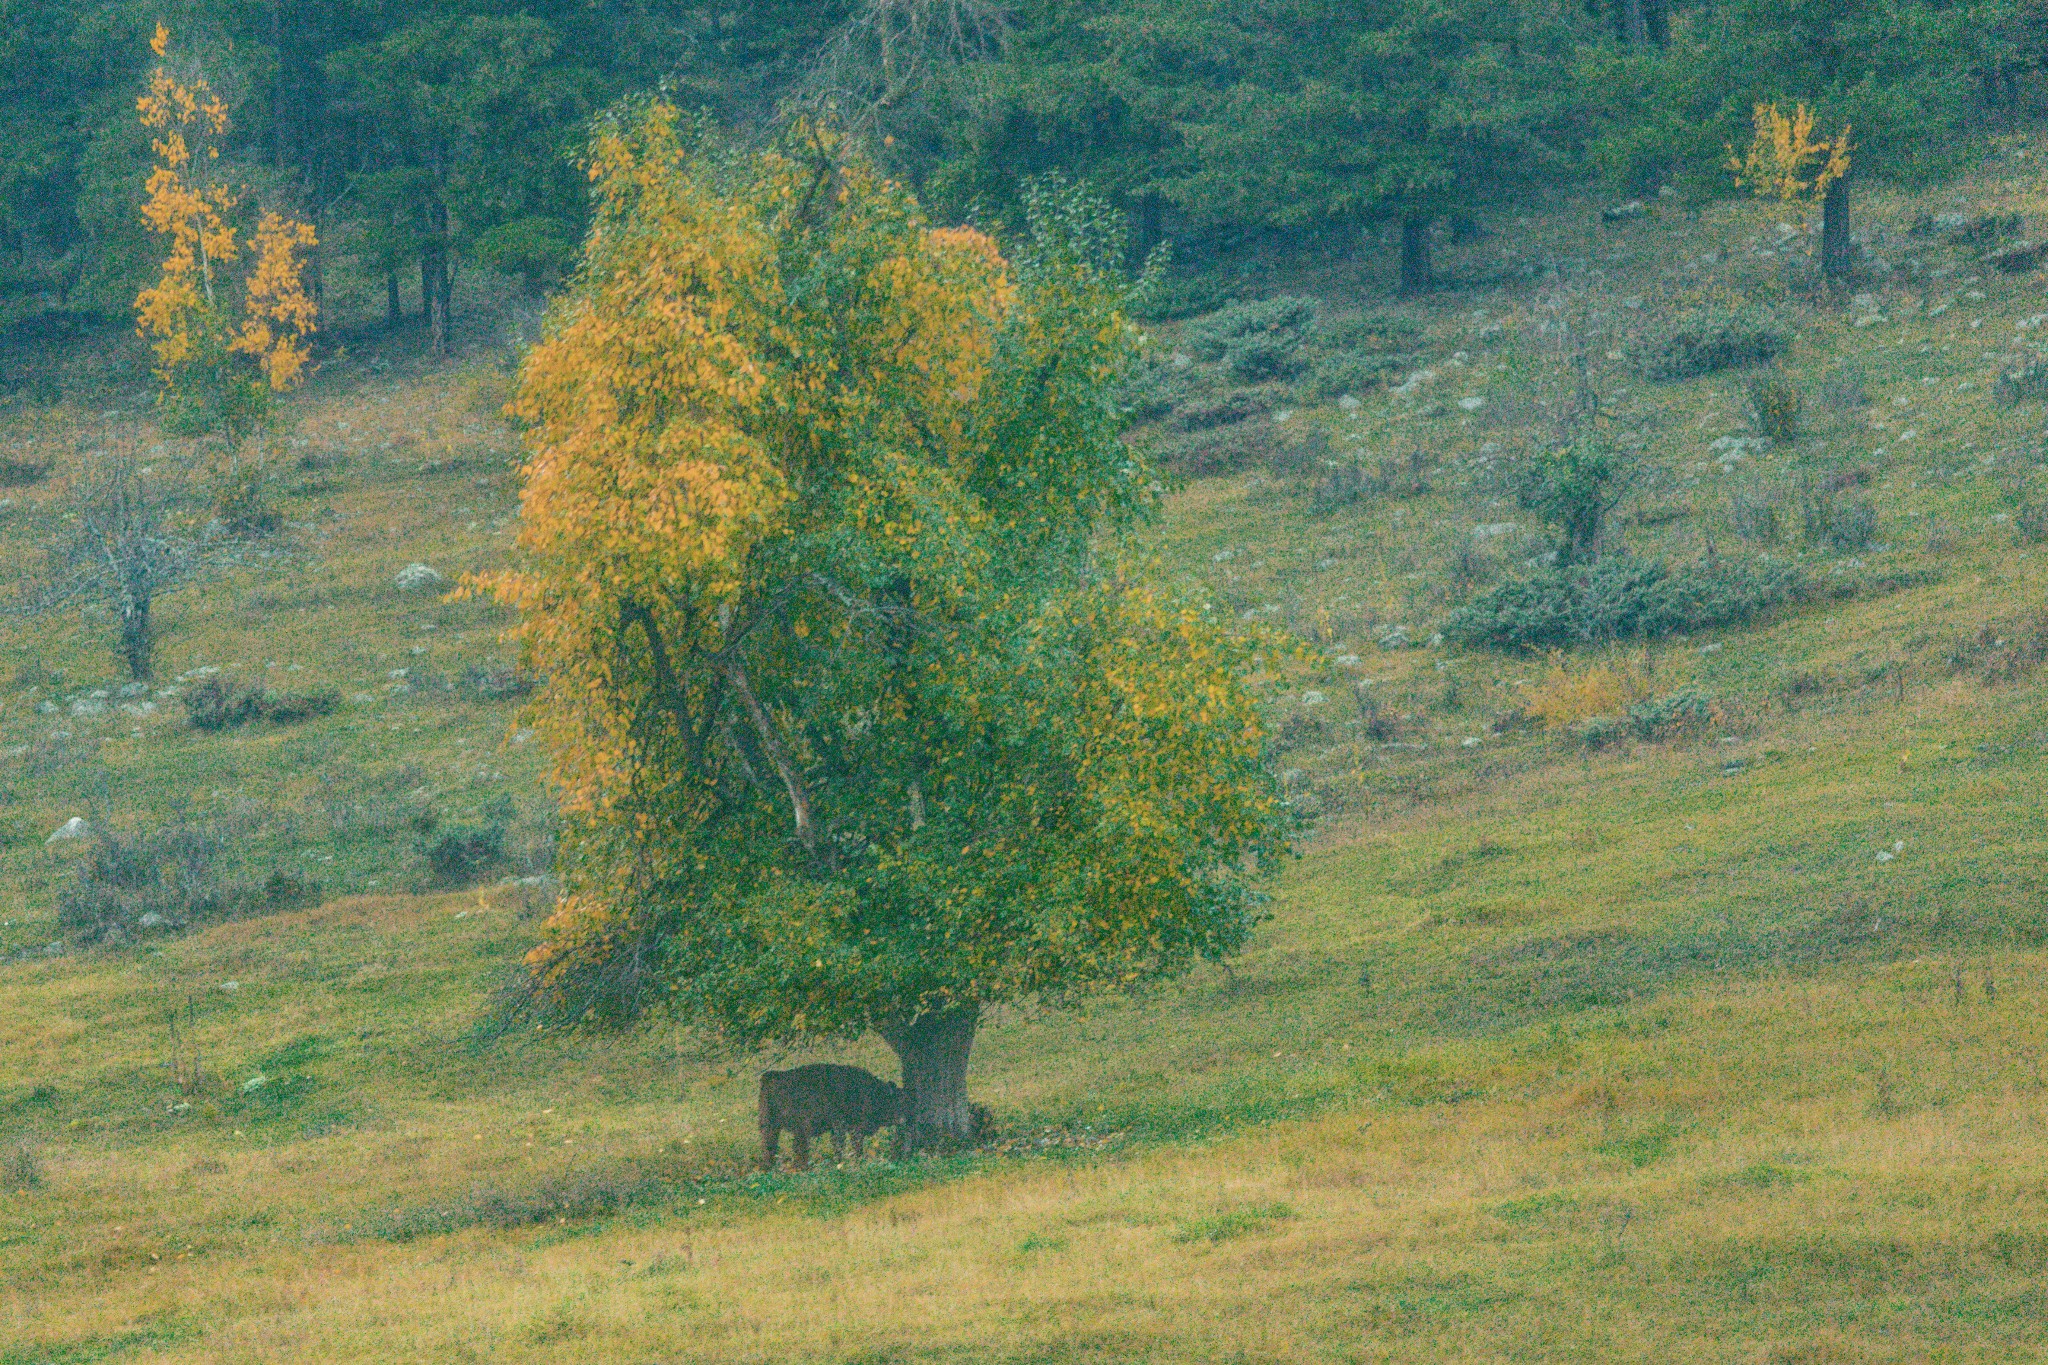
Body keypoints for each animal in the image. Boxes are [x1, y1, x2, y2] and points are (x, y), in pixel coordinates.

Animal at [761, 1064, 905, 1170]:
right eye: (897, 1101)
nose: (903, 1120)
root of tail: (771, 1076)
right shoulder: (844, 1125)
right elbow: (846, 1144)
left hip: (773, 1125)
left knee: (773, 1145)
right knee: (795, 1146)